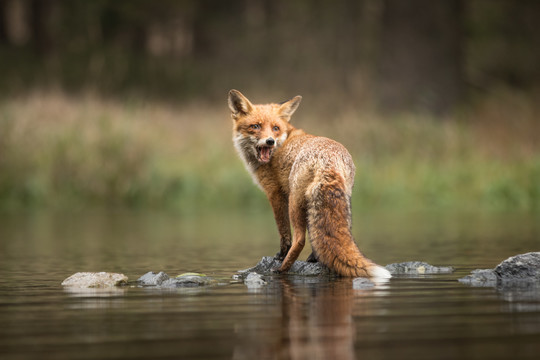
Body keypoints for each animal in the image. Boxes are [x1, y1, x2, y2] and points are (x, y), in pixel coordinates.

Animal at [229, 89, 392, 278]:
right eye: (255, 126)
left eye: (275, 128)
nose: (270, 141)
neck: (283, 142)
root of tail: (330, 161)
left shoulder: (275, 193)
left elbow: (283, 231)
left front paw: (280, 255)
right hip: (338, 202)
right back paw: (315, 259)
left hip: (295, 201)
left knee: (300, 239)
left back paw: (282, 268)